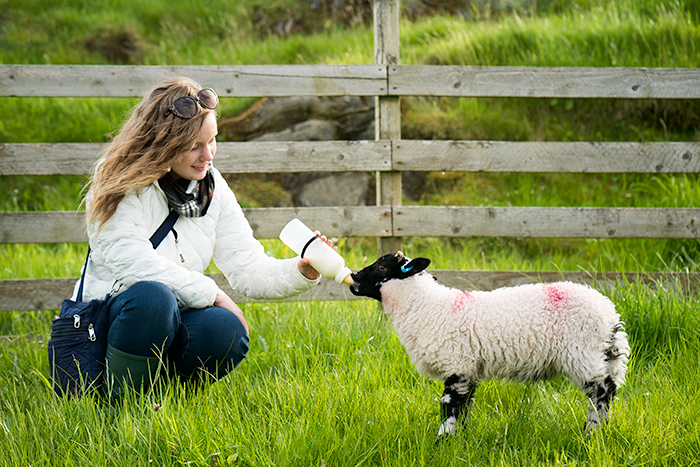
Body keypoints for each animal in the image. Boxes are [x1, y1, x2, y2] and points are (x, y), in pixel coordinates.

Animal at [350, 252, 628, 438]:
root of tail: (610, 314)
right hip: (601, 356)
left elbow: (450, 407)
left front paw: (443, 440)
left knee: (602, 391)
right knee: (608, 388)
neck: (426, 307)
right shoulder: (469, 369)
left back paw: (591, 433)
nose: (353, 276)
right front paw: (458, 441)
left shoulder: (457, 364)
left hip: (582, 354)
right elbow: (463, 408)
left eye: (382, 265)